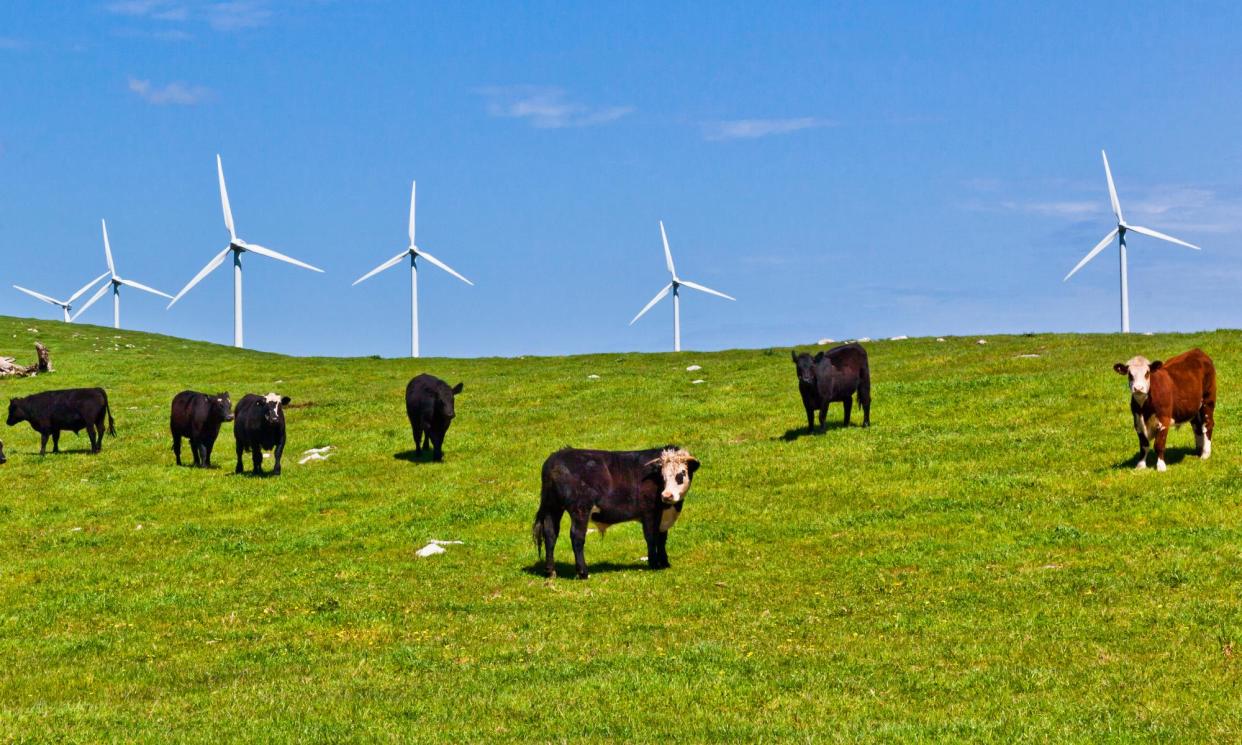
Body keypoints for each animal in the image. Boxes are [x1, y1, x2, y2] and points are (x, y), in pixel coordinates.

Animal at [531, 444, 700, 578]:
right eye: (663, 476)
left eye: (681, 474)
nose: (667, 496)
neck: (670, 509)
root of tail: (556, 457)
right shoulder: (649, 513)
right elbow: (652, 538)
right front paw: (653, 564)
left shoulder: (663, 518)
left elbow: (662, 538)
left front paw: (664, 562)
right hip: (580, 509)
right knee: (576, 536)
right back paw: (583, 572)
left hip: (552, 508)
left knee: (550, 534)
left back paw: (550, 571)